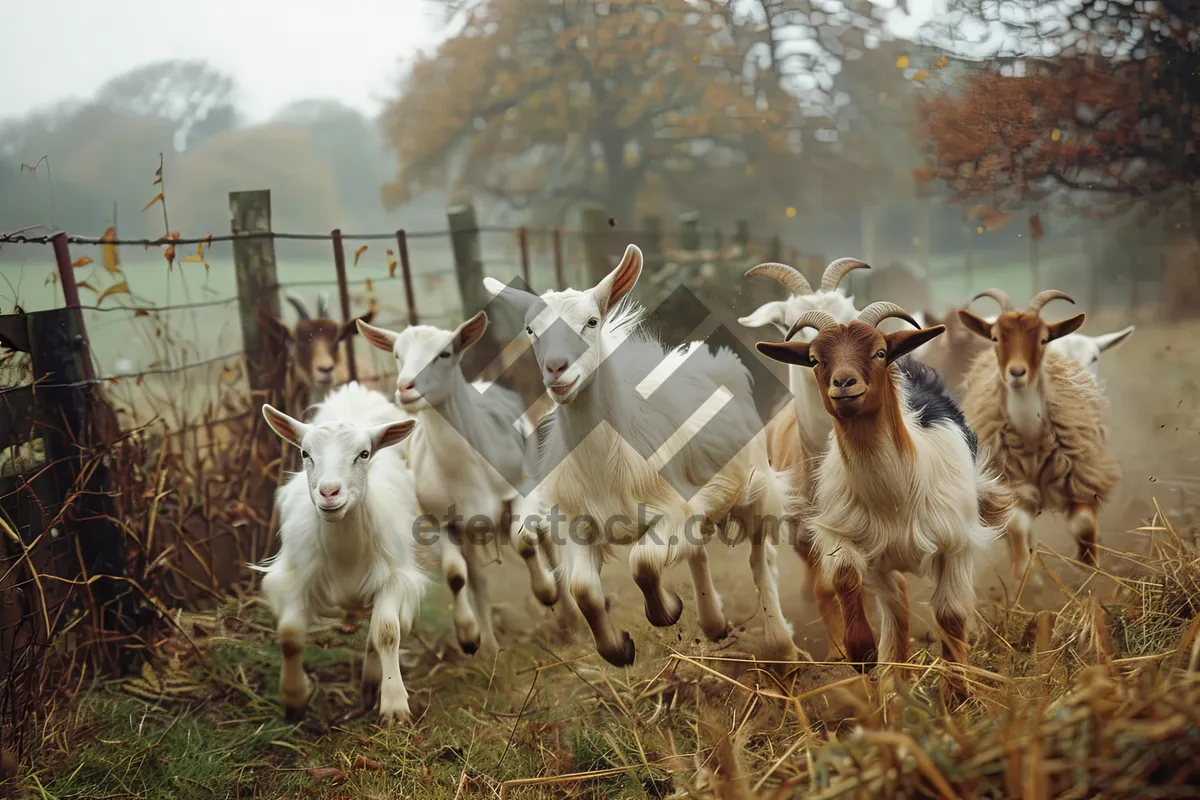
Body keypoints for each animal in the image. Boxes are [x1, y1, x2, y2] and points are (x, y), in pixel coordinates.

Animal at [352, 311, 568, 657]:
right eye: (397, 355)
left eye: (444, 354)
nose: (405, 388)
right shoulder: (439, 519)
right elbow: (456, 576)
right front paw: (469, 636)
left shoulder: (518, 492)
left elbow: (524, 541)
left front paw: (546, 592)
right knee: (478, 579)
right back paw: (492, 648)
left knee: (547, 542)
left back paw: (570, 615)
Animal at [482, 245, 801, 671]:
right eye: (531, 330)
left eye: (592, 321)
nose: (556, 369)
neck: (605, 458)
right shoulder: (575, 520)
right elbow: (584, 590)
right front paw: (618, 649)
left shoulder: (672, 511)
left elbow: (644, 563)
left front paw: (666, 610)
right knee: (700, 555)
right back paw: (714, 623)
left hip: (756, 490)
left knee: (760, 561)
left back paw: (781, 645)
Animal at [753, 302, 1008, 690]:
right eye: (814, 359)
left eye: (879, 352)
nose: (843, 384)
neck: (897, 492)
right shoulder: (848, 535)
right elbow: (847, 579)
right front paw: (862, 653)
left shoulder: (955, 543)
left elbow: (950, 615)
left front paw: (957, 691)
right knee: (896, 599)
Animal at [955, 287, 1123, 582]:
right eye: (995, 337)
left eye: (1043, 339)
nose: (1017, 373)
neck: (1031, 439)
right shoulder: (1009, 484)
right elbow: (1016, 526)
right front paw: (1026, 575)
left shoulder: (1082, 474)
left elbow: (1083, 525)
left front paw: (1089, 569)